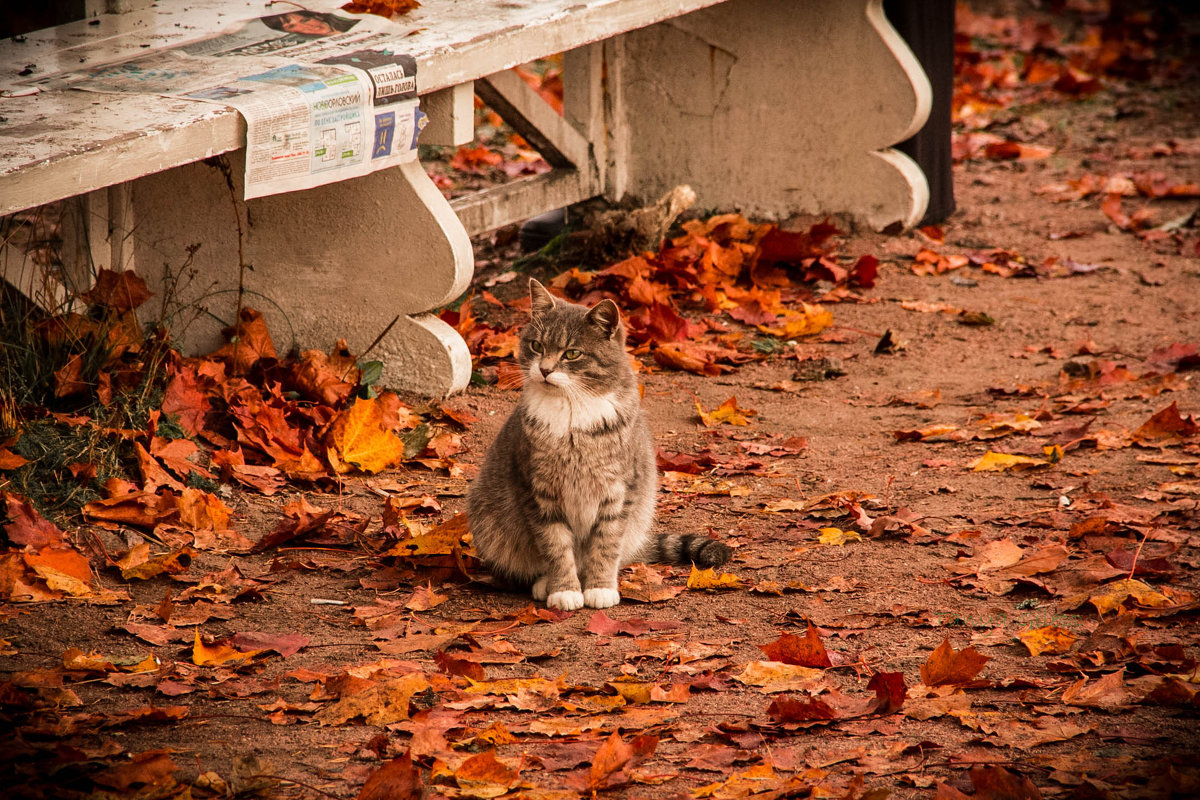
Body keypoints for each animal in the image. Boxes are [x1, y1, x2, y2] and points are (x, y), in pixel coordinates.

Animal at [468, 278, 729, 609]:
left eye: (572, 354)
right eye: (537, 346)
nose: (544, 370)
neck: (571, 410)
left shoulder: (619, 492)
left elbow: (606, 545)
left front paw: (600, 586)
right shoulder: (538, 492)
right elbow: (555, 546)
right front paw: (564, 589)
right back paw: (545, 583)